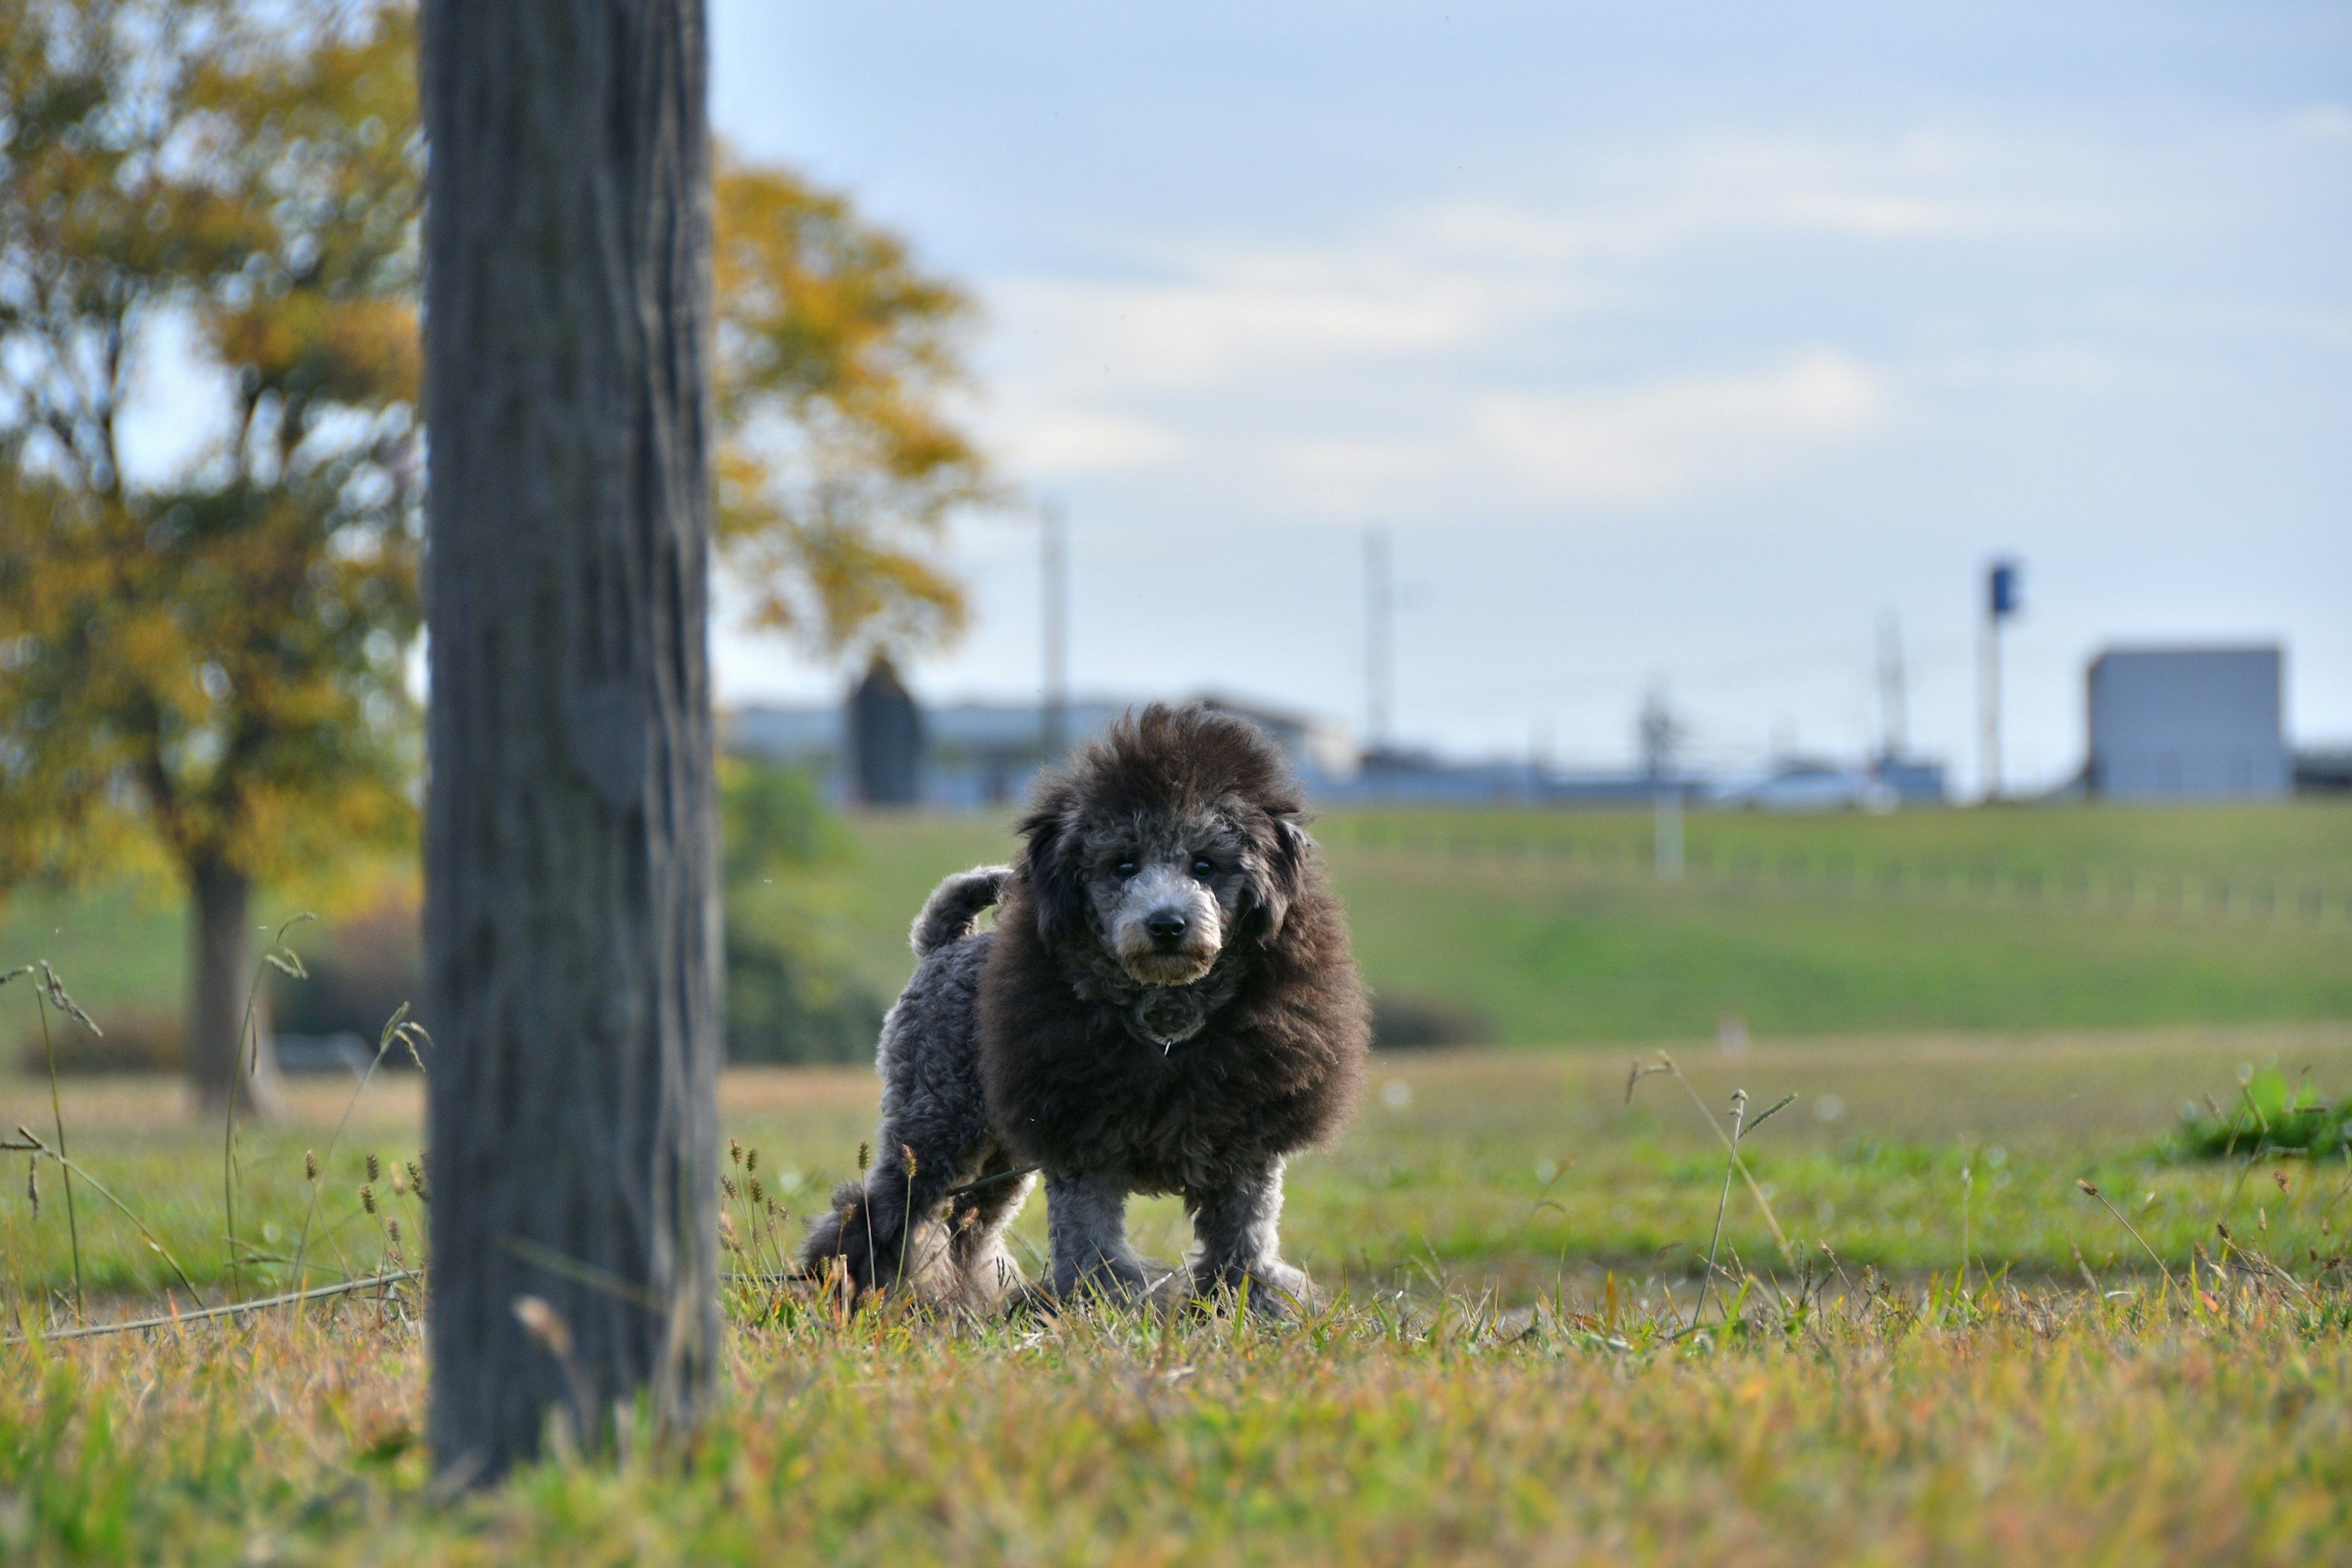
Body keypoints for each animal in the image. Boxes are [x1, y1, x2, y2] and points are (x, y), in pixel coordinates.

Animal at [799, 700, 1373, 1316]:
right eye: (1123, 865)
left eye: (1205, 866)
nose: (1167, 924)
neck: (1166, 1022)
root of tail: (945, 943)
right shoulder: (1083, 1146)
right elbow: (1091, 1244)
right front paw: (1098, 1306)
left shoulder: (1244, 1152)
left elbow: (1245, 1243)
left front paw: (1253, 1305)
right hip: (934, 1126)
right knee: (887, 1210)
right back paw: (845, 1285)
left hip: (1001, 1156)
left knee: (971, 1229)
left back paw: (968, 1297)